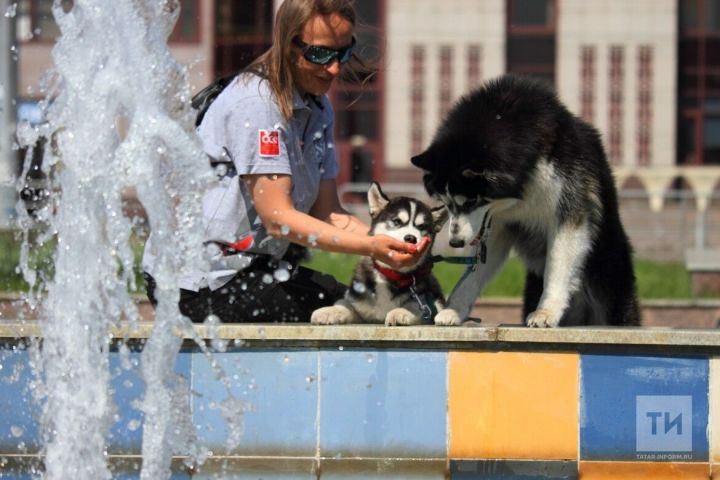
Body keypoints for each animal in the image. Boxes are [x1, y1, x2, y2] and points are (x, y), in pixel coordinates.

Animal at [310, 183, 448, 326]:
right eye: (397, 221)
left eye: (421, 227)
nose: (411, 238)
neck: (389, 274)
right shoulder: (358, 303)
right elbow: (344, 304)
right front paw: (328, 311)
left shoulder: (423, 305)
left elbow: (416, 307)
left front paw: (400, 312)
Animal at [410, 75, 640, 328]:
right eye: (446, 202)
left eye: (470, 201)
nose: (456, 242)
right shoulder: (496, 225)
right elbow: (473, 273)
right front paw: (454, 309)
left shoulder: (570, 209)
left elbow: (558, 263)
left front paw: (546, 311)